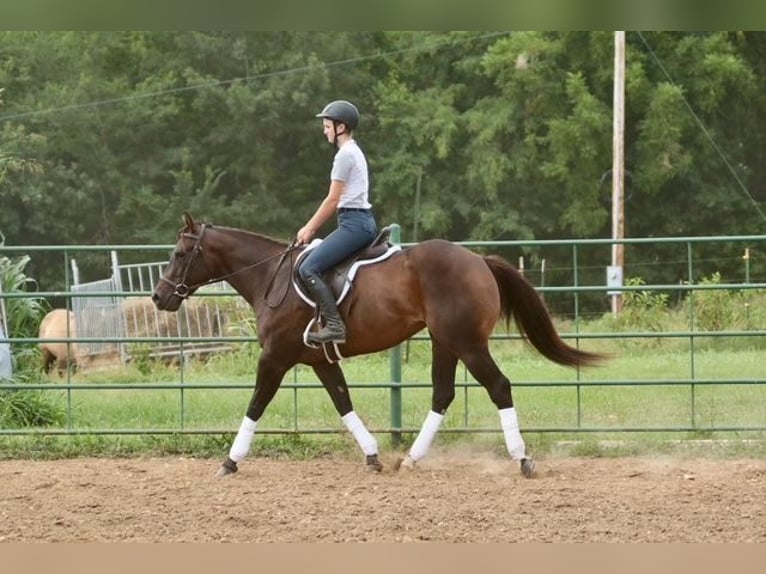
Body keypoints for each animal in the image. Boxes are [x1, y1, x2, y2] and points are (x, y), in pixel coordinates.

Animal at [152, 212, 605, 478]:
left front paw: (230, 461)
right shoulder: (319, 360)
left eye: (180, 253)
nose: (159, 297)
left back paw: (522, 458)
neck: (270, 277)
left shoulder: (274, 358)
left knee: (499, 387)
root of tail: (478, 260)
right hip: (445, 342)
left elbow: (256, 405)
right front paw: (372, 455)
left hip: (468, 343)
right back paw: (412, 459)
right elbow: (343, 401)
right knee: (443, 394)